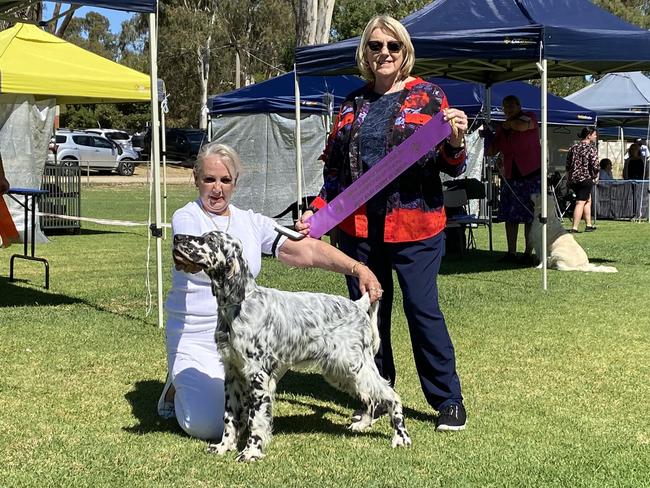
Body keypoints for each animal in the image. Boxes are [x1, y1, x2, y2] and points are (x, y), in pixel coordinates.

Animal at [172, 231, 410, 464]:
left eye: (210, 240)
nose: (177, 238)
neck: (239, 305)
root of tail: (358, 305)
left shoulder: (258, 375)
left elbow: (255, 418)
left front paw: (251, 452)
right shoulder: (232, 373)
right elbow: (230, 417)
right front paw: (223, 446)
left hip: (354, 365)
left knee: (391, 395)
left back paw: (401, 437)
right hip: (341, 371)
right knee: (370, 396)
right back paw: (362, 424)